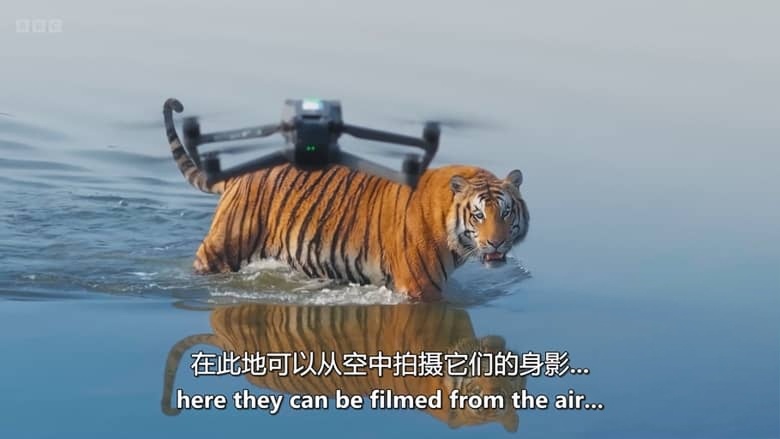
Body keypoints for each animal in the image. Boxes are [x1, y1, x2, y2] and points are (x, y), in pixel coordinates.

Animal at [165, 99, 529, 301]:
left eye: (507, 214)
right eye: (478, 215)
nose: (496, 244)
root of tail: (239, 175)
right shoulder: (420, 288)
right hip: (224, 245)